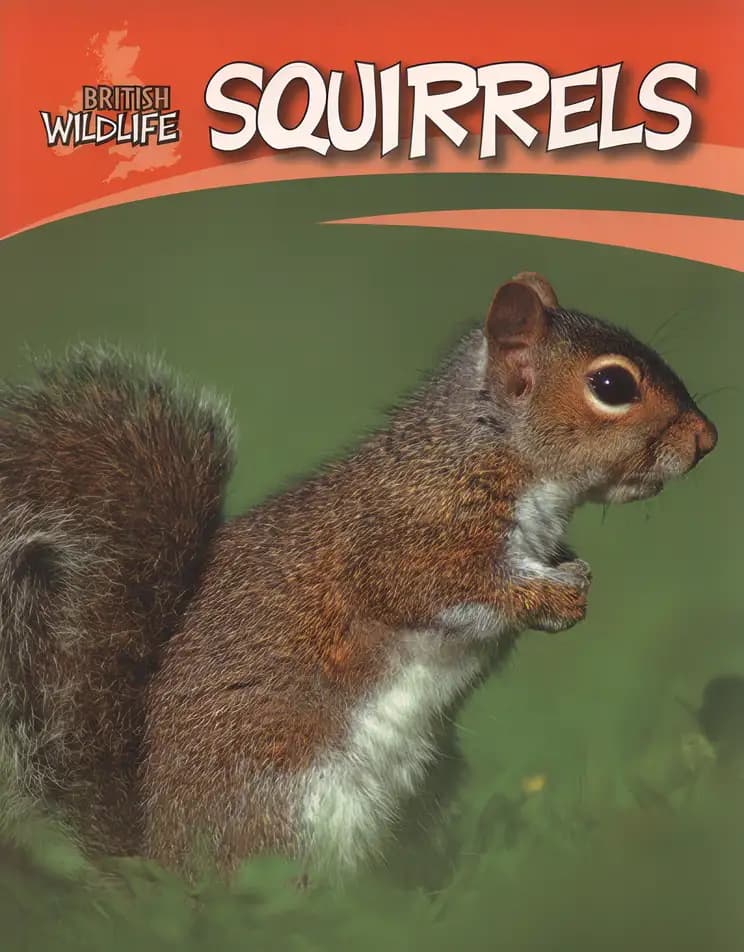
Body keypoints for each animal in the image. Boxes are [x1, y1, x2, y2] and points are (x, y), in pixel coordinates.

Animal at [0, 271, 717, 877]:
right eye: (612, 387)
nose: (706, 440)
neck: (488, 454)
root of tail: (163, 860)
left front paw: (574, 572)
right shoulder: (408, 547)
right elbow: (454, 592)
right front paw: (555, 596)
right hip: (293, 804)